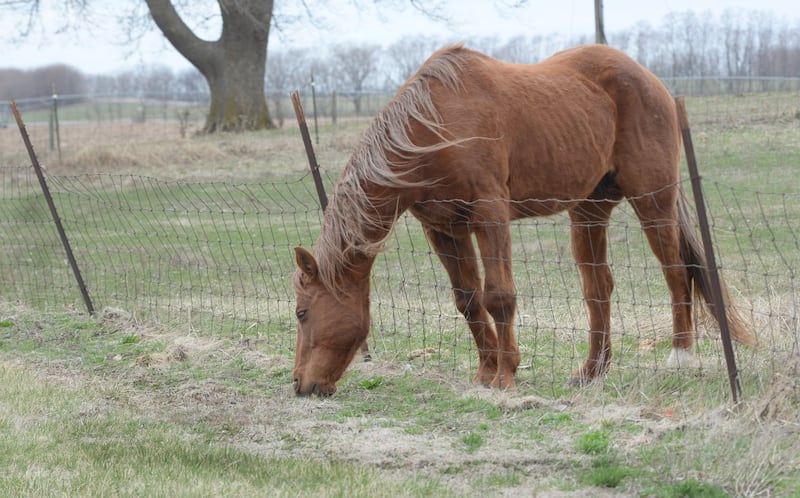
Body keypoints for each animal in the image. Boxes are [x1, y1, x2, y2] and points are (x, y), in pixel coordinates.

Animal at [291, 43, 755, 396]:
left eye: (300, 312)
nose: (299, 385)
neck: (434, 128)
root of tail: (651, 79)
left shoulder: (490, 215)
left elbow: (498, 296)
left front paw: (507, 374)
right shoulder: (444, 229)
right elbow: (468, 300)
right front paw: (485, 371)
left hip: (653, 201)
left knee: (676, 272)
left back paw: (681, 356)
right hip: (588, 211)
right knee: (598, 289)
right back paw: (591, 371)